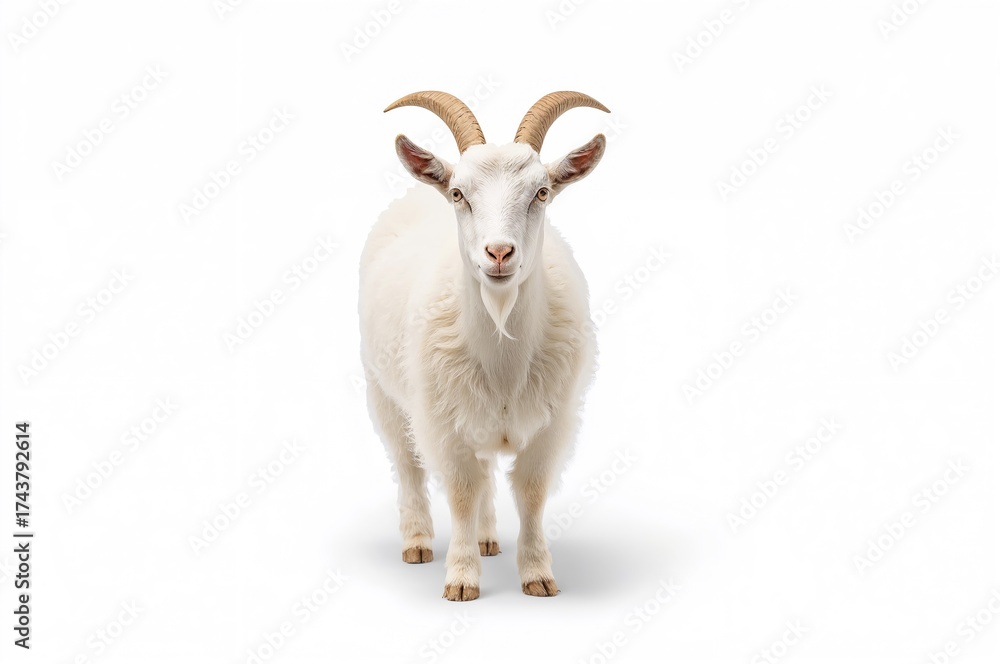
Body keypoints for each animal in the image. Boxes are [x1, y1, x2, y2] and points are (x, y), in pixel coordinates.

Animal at [360, 91, 607, 601]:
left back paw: (488, 537)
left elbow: (530, 491)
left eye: (542, 192)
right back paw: (417, 541)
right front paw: (460, 577)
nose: (498, 253)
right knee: (407, 465)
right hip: (383, 391)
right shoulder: (442, 424)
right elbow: (461, 492)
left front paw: (536, 574)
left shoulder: (552, 423)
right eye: (459, 194)